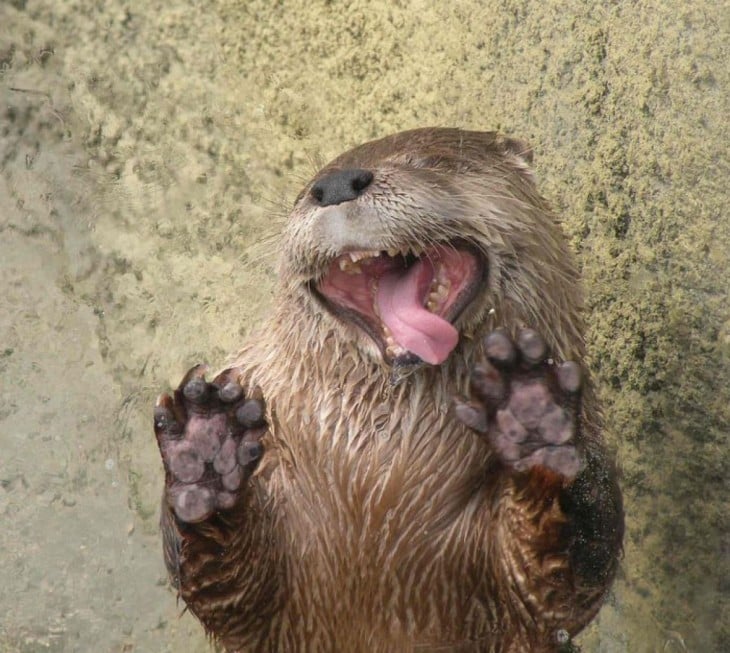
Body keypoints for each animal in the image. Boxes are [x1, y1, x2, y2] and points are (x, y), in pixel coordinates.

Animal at [152, 129, 620, 652]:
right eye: (307, 188)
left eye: (431, 162)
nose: (335, 185)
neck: (376, 470)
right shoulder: (270, 616)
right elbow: (224, 589)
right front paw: (207, 449)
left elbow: (563, 577)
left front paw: (531, 413)